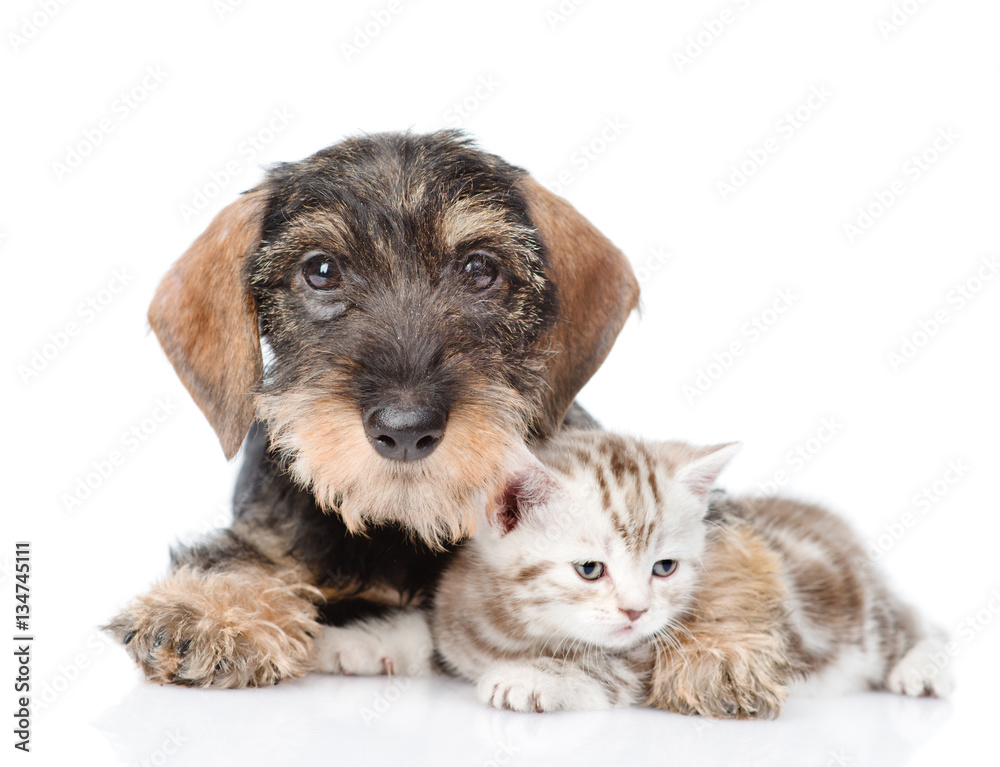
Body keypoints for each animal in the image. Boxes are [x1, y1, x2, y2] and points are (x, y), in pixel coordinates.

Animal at [314, 432, 952, 712]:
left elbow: (607, 668)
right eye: (590, 569)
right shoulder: (456, 613)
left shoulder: (659, 657)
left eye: (664, 568)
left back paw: (921, 669)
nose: (635, 609)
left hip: (862, 615)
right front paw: (356, 643)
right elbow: (429, 636)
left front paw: (535, 678)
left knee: (918, 622)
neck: (513, 631)